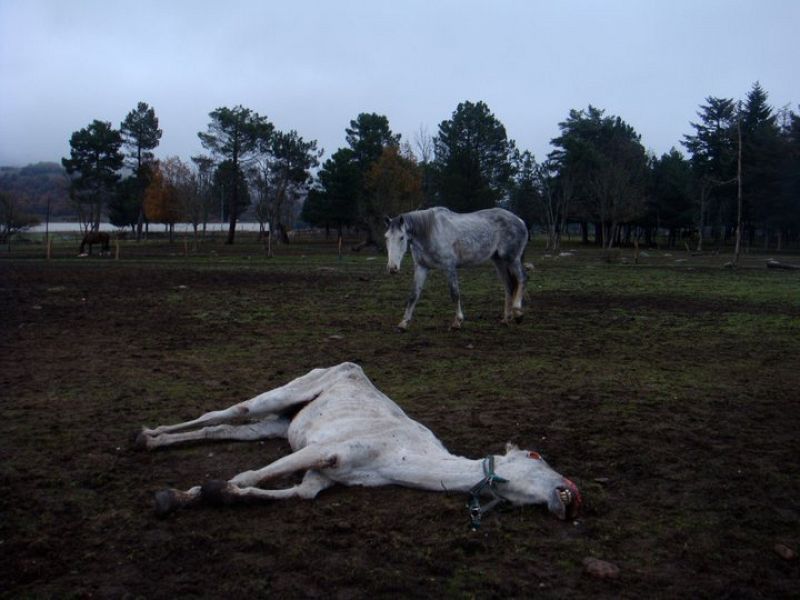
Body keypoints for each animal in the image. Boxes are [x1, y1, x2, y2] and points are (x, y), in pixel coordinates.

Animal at [134, 360, 580, 524]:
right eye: (536, 454)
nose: (573, 493)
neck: (398, 457)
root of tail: (345, 365)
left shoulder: (325, 473)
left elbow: (296, 493)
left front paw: (210, 494)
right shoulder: (322, 451)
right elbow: (247, 475)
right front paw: (177, 496)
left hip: (278, 424)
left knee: (224, 429)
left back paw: (152, 441)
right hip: (284, 394)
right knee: (229, 411)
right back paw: (146, 434)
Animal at [384, 205, 528, 328]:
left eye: (402, 237)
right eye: (386, 237)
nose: (392, 268)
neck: (431, 232)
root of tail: (520, 221)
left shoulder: (449, 266)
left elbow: (454, 293)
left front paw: (457, 321)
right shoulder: (421, 267)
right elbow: (414, 295)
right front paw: (403, 323)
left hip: (512, 259)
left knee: (522, 279)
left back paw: (518, 312)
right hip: (499, 261)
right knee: (509, 286)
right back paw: (506, 319)